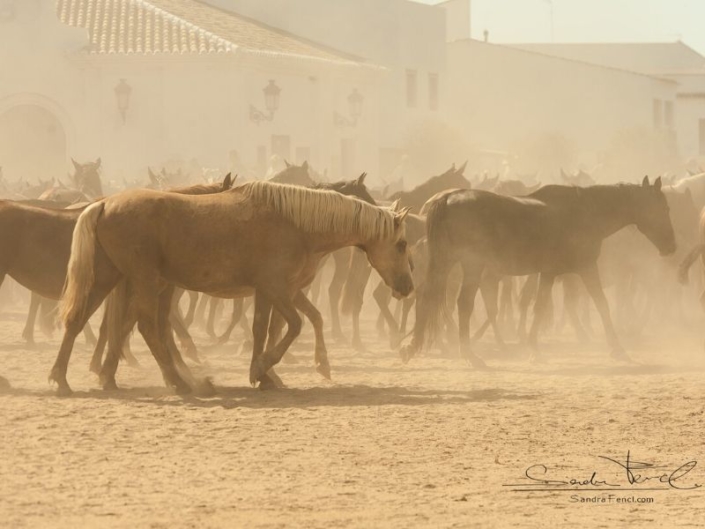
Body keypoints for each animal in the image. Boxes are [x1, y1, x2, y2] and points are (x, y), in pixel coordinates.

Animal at [52, 179, 412, 394]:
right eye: (403, 244)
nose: (407, 286)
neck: (297, 224)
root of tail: (104, 204)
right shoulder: (277, 288)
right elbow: (294, 325)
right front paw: (264, 368)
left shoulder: (271, 291)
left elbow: (265, 328)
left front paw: (267, 373)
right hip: (145, 281)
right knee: (146, 326)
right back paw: (178, 382)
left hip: (109, 276)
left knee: (83, 320)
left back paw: (74, 377)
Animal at [398, 175, 672, 366]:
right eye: (664, 208)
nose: (671, 245)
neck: (584, 212)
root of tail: (447, 199)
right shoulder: (585, 267)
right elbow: (601, 303)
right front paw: (618, 349)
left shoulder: (549, 273)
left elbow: (539, 306)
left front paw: (533, 349)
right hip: (471, 265)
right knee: (463, 304)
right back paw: (469, 353)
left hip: (447, 263)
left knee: (428, 298)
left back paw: (412, 347)